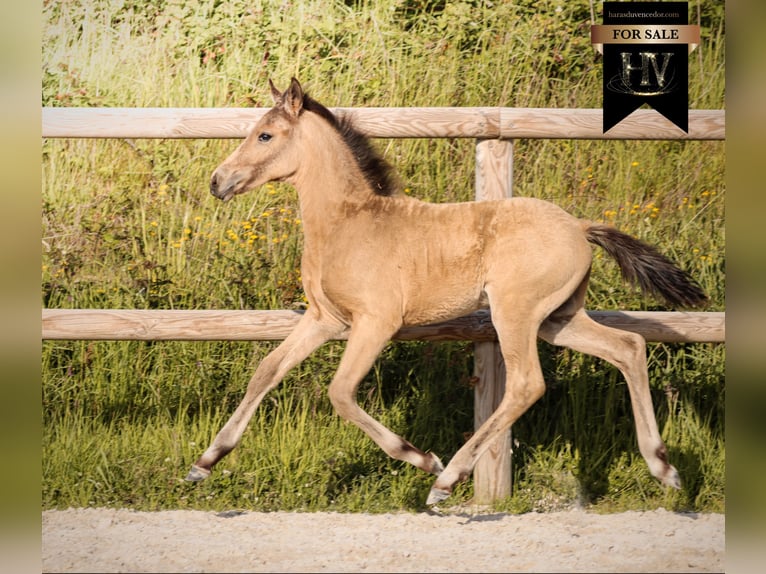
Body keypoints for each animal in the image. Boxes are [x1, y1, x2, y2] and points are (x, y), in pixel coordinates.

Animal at [186, 77, 707, 505]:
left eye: (266, 135)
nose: (217, 181)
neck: (346, 223)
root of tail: (579, 226)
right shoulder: (324, 319)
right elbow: (267, 370)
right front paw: (205, 462)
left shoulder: (376, 323)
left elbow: (341, 393)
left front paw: (421, 458)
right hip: (559, 319)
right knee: (629, 347)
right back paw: (664, 468)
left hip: (514, 313)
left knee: (526, 383)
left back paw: (446, 479)